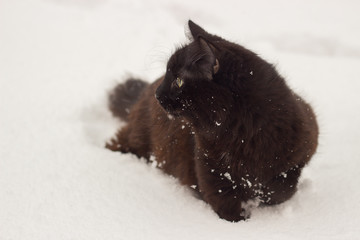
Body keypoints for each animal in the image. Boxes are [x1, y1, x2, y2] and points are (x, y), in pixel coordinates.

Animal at [106, 20, 318, 221]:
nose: (158, 94)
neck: (242, 134)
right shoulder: (211, 169)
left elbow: (282, 189)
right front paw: (240, 221)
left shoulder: (304, 145)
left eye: (178, 81)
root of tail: (144, 91)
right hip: (140, 140)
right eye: (168, 75)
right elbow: (224, 201)